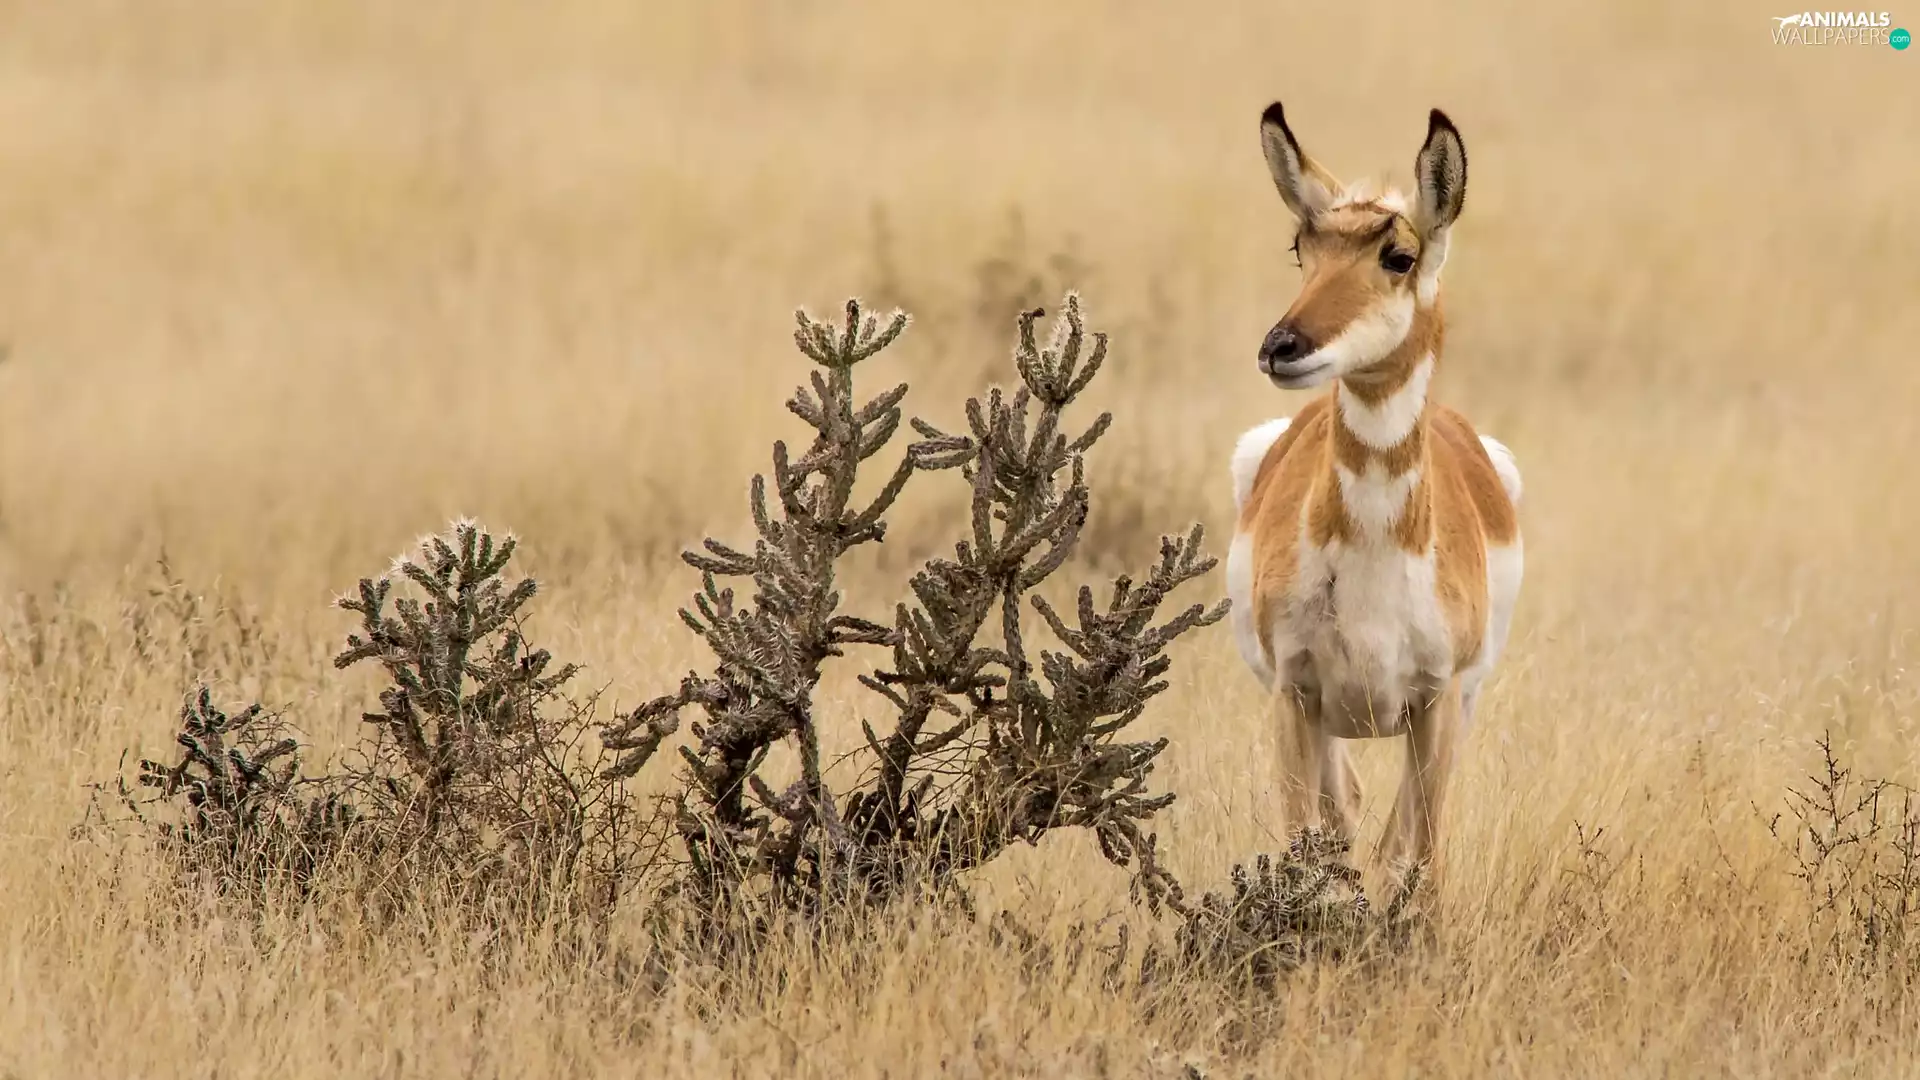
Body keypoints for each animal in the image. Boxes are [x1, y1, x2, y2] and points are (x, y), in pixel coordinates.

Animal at [1226, 102, 1523, 885]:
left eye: (1399, 255)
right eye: (1303, 247)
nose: (1282, 346)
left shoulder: (1438, 701)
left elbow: (1422, 861)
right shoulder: (1295, 696)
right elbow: (1305, 841)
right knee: (1346, 815)